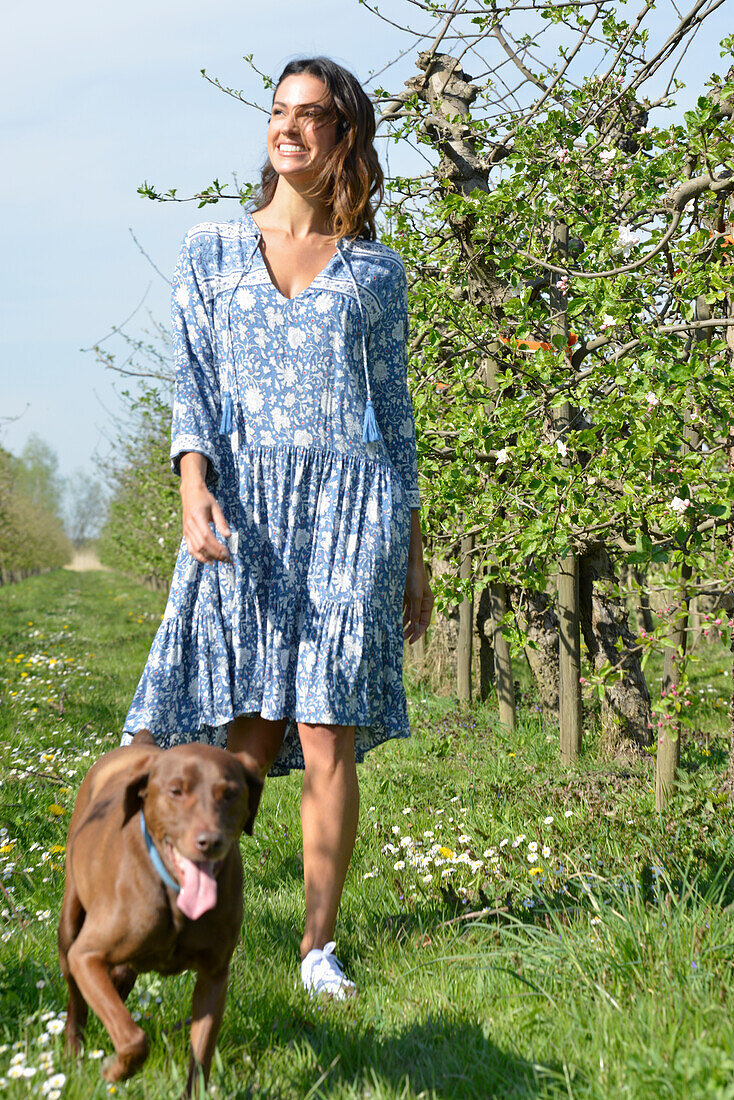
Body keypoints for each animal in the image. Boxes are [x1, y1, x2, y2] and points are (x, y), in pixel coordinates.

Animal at [58, 743, 264, 1095]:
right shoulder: (87, 956)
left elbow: (201, 1058)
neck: (176, 895)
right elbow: (133, 1039)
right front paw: (113, 1070)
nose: (209, 842)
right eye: (176, 791)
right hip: (69, 926)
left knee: (121, 979)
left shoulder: (214, 977)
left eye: (230, 793)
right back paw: (75, 1054)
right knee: (77, 1002)